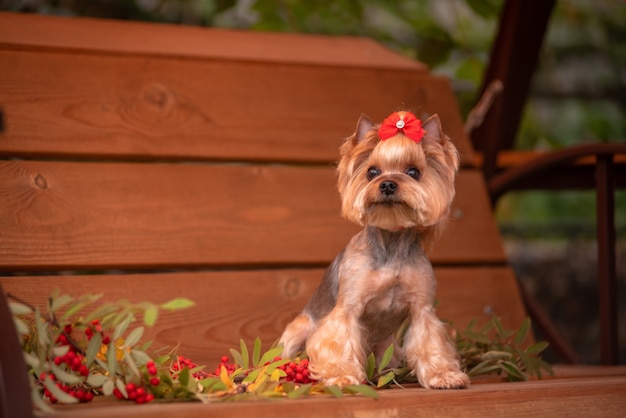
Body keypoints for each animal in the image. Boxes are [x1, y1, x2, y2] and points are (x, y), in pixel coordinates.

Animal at [280, 110, 468, 388]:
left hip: (388, 348)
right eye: (372, 172)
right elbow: (338, 340)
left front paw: (443, 375)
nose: (387, 184)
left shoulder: (422, 308)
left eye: (413, 172)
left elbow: (429, 342)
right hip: (298, 329)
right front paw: (342, 375)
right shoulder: (347, 308)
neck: (391, 243)